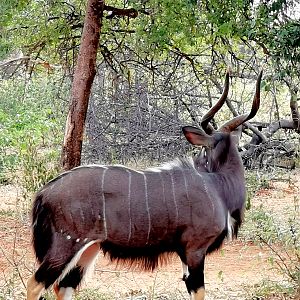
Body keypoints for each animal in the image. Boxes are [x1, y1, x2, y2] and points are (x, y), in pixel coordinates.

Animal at [27, 70, 262, 300]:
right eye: (205, 149)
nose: (201, 162)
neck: (218, 186)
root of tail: (44, 193)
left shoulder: (186, 253)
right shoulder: (195, 248)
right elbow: (199, 291)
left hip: (89, 248)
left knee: (63, 287)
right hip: (67, 243)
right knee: (35, 284)